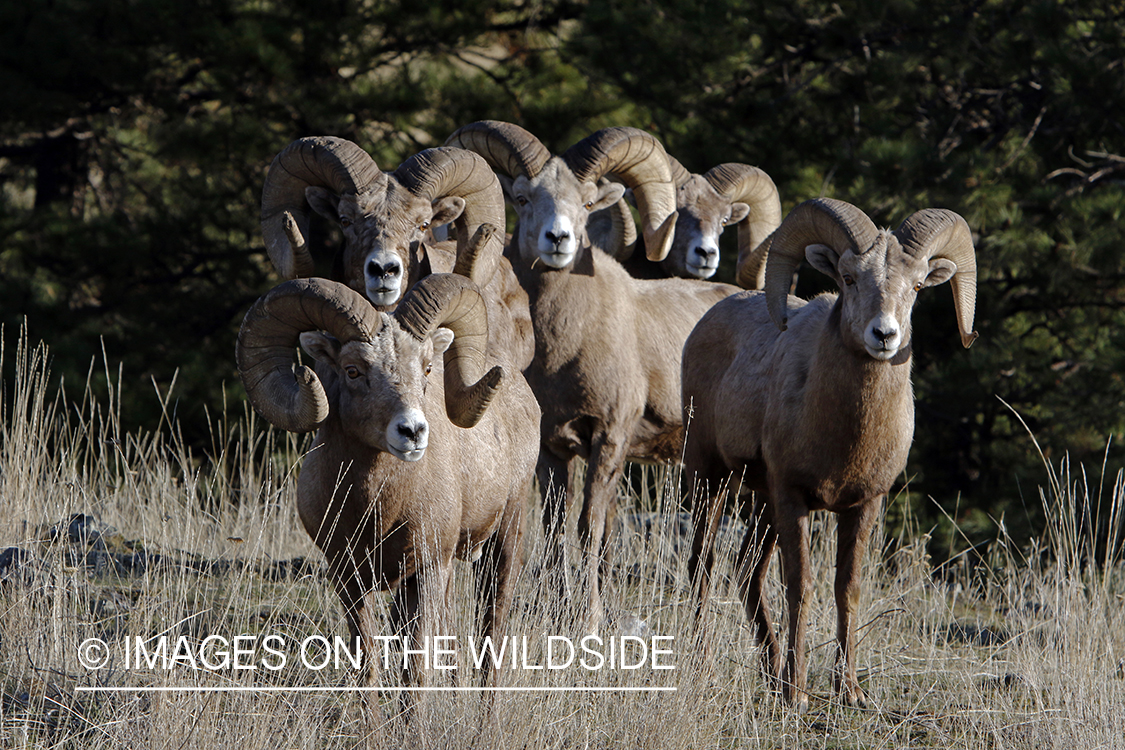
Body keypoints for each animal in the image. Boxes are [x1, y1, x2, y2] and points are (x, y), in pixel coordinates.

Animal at [236, 273, 540, 697]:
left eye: (427, 368)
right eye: (352, 370)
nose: (412, 432)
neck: (376, 512)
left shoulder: (426, 571)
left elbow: (415, 676)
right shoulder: (348, 579)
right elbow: (368, 671)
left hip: (506, 536)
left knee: (492, 634)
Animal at [443, 120, 742, 629]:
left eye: (585, 203)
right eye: (522, 198)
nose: (558, 239)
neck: (567, 347)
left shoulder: (610, 440)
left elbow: (591, 530)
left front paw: (591, 617)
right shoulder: (552, 451)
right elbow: (556, 529)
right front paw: (562, 609)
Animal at [679, 197, 981, 710]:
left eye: (918, 285)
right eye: (849, 277)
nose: (884, 335)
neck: (846, 435)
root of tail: (704, 321)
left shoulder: (864, 504)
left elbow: (848, 589)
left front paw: (850, 691)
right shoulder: (793, 497)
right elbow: (800, 588)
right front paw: (798, 694)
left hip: (761, 503)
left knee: (746, 572)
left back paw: (772, 672)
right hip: (710, 477)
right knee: (703, 564)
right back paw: (712, 667)